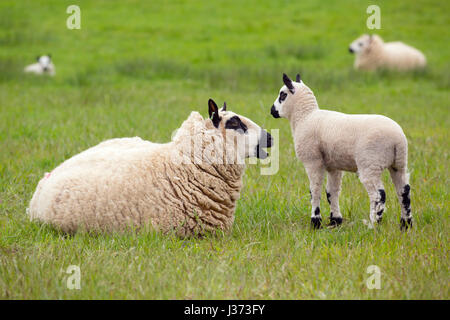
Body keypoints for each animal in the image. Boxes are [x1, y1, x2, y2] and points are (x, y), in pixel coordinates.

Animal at [268, 73, 414, 230]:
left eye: (283, 95)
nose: (272, 110)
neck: (305, 117)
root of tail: (396, 139)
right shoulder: (333, 165)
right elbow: (332, 192)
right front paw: (335, 221)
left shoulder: (313, 161)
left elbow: (315, 190)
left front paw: (315, 222)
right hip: (399, 163)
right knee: (404, 192)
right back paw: (406, 224)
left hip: (370, 163)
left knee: (378, 195)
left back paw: (374, 224)